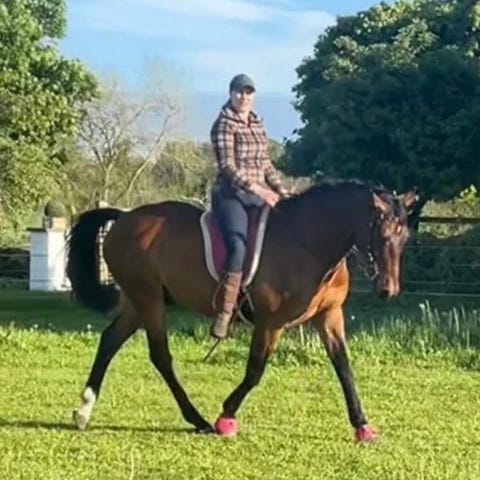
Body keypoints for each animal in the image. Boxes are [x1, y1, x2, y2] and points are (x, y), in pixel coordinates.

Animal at [66, 180, 417, 441]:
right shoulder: (270, 322)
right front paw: (226, 417)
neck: (308, 243)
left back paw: (83, 411)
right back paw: (198, 419)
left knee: (110, 341)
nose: (388, 290)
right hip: (148, 298)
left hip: (140, 300)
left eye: (404, 237)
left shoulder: (329, 316)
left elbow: (344, 367)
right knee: (160, 355)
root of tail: (124, 218)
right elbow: (255, 371)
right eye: (383, 234)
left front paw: (362, 425)